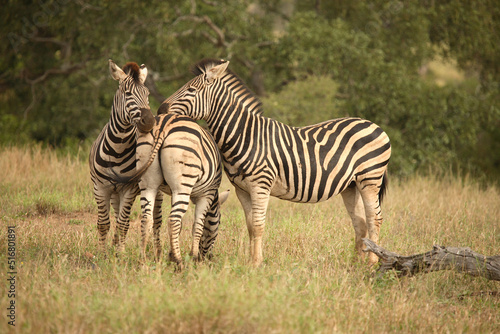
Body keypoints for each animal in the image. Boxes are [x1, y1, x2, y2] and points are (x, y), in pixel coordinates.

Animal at [89, 60, 160, 253]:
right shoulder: (100, 188)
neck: (117, 150)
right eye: (128, 94)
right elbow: (104, 224)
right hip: (114, 192)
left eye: (147, 94)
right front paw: (101, 253)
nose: (149, 122)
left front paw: (119, 254)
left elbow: (123, 224)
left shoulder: (129, 189)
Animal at [112, 113, 228, 268]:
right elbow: (197, 226)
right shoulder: (207, 194)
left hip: (148, 182)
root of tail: (164, 125)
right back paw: (179, 262)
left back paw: (143, 259)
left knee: (147, 219)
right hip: (183, 184)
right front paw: (193, 256)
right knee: (172, 220)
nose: (208, 258)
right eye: (218, 222)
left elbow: (181, 226)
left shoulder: (173, 193)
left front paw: (172, 254)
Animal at [150, 58, 392, 266]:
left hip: (370, 178)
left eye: (191, 90)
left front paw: (257, 263)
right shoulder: (242, 190)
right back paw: (356, 262)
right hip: (350, 185)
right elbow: (250, 225)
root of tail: (372, 124)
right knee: (360, 222)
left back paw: (372, 263)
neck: (245, 134)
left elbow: (258, 225)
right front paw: (250, 262)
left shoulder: (261, 185)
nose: (160, 110)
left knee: (374, 218)